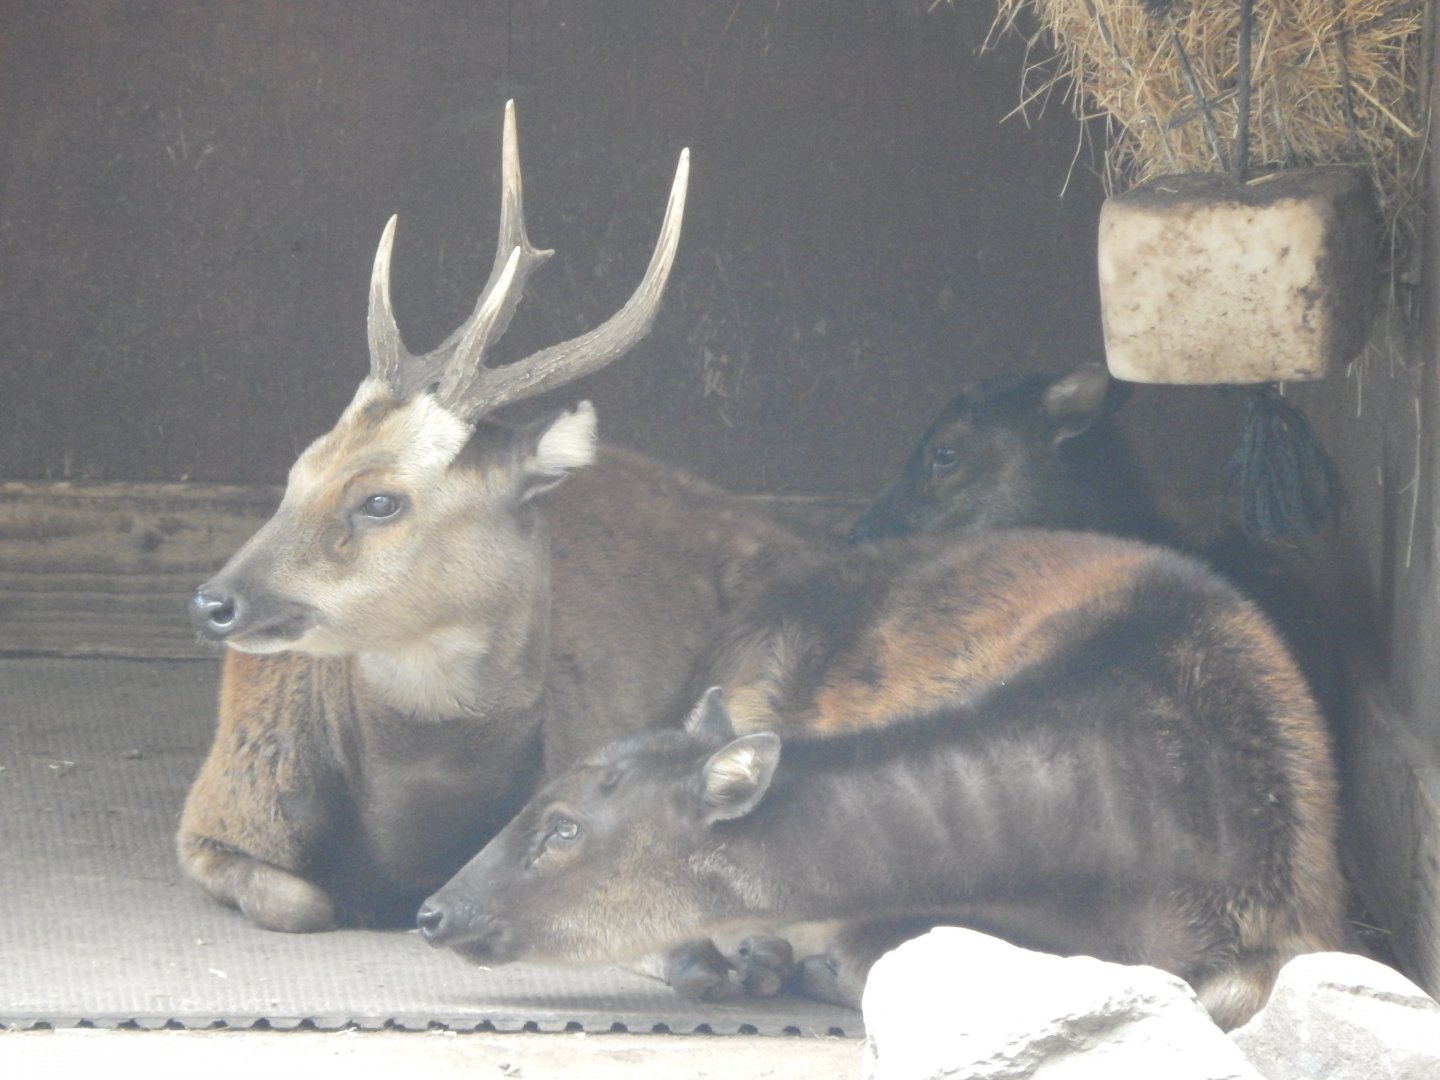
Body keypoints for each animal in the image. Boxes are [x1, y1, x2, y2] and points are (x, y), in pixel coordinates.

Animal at [178, 102, 806, 934]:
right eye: (298, 469)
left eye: (381, 498)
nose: (213, 602)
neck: (409, 838)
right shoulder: (214, 812)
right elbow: (302, 900)